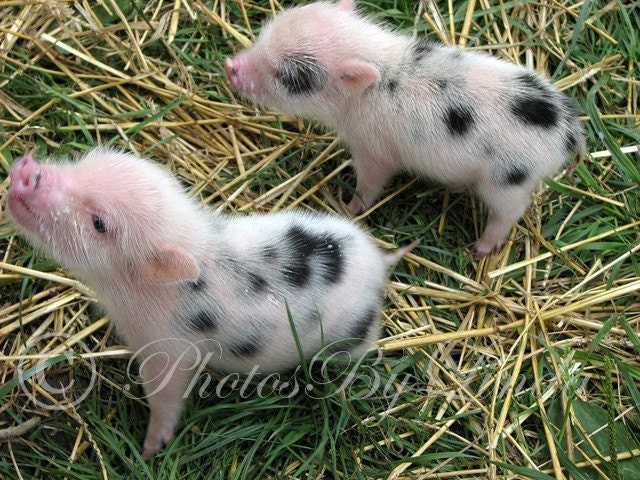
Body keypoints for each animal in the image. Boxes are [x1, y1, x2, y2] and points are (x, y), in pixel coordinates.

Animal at [6, 149, 415, 459]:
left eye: (99, 223)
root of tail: (379, 263)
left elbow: (167, 398)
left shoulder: (170, 351)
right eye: (82, 160)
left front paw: (148, 451)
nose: (26, 170)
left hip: (353, 335)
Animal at [224, 0, 586, 259]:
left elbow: (370, 184)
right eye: (264, 33)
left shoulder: (373, 151)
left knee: (511, 213)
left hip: (508, 180)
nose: (230, 65)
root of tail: (568, 132)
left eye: (293, 79)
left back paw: (480, 251)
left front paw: (347, 207)